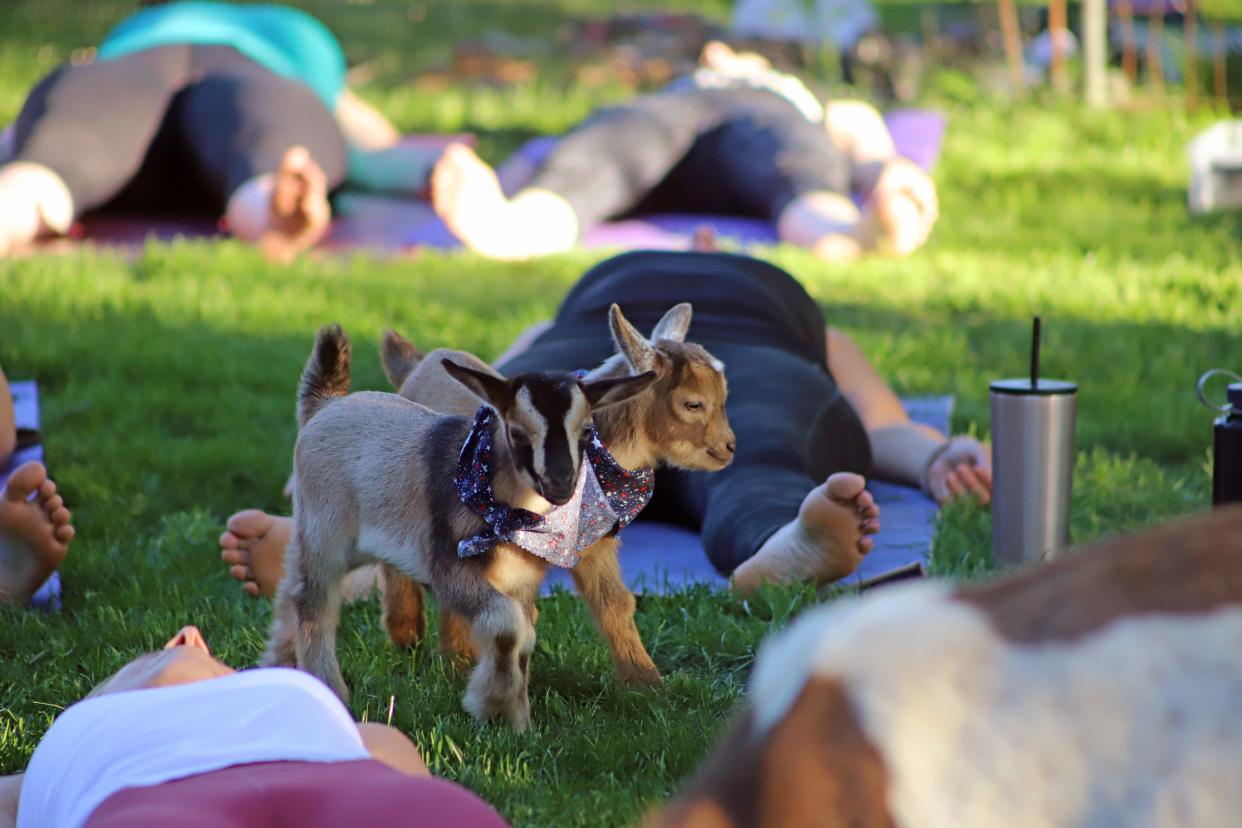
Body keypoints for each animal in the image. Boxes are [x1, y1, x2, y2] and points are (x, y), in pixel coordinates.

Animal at [263, 325, 660, 729]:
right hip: (324, 533)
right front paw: (493, 705)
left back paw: (278, 667)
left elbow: (525, 638)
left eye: (585, 433)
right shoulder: (450, 570)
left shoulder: (522, 580)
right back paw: (329, 689)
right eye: (517, 433)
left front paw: (516, 722)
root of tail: (324, 407)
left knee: (291, 588)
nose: (561, 483)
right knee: (314, 601)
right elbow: (507, 627)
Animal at [372, 302, 730, 685]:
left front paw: (646, 681)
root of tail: (417, 365)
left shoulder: (593, 543)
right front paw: (464, 670)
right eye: (693, 404)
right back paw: (407, 636)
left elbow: (615, 601)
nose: (730, 448)